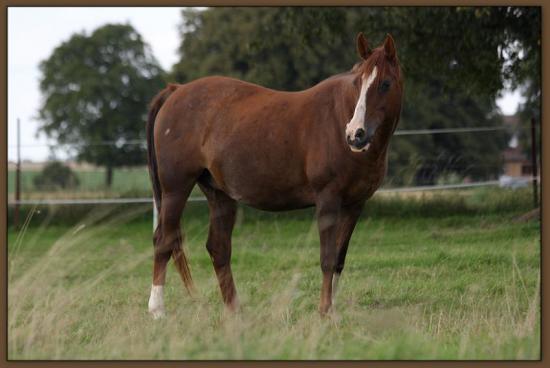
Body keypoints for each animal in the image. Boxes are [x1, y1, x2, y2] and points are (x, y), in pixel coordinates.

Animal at [147, 33, 406, 318]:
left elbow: (339, 259)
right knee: (164, 241)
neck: (338, 117)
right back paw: (157, 310)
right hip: (176, 189)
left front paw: (333, 311)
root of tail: (176, 90)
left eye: (385, 83)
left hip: (219, 194)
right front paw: (324, 312)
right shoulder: (328, 200)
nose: (355, 134)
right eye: (358, 83)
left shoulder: (355, 205)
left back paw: (235, 311)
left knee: (218, 248)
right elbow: (327, 259)